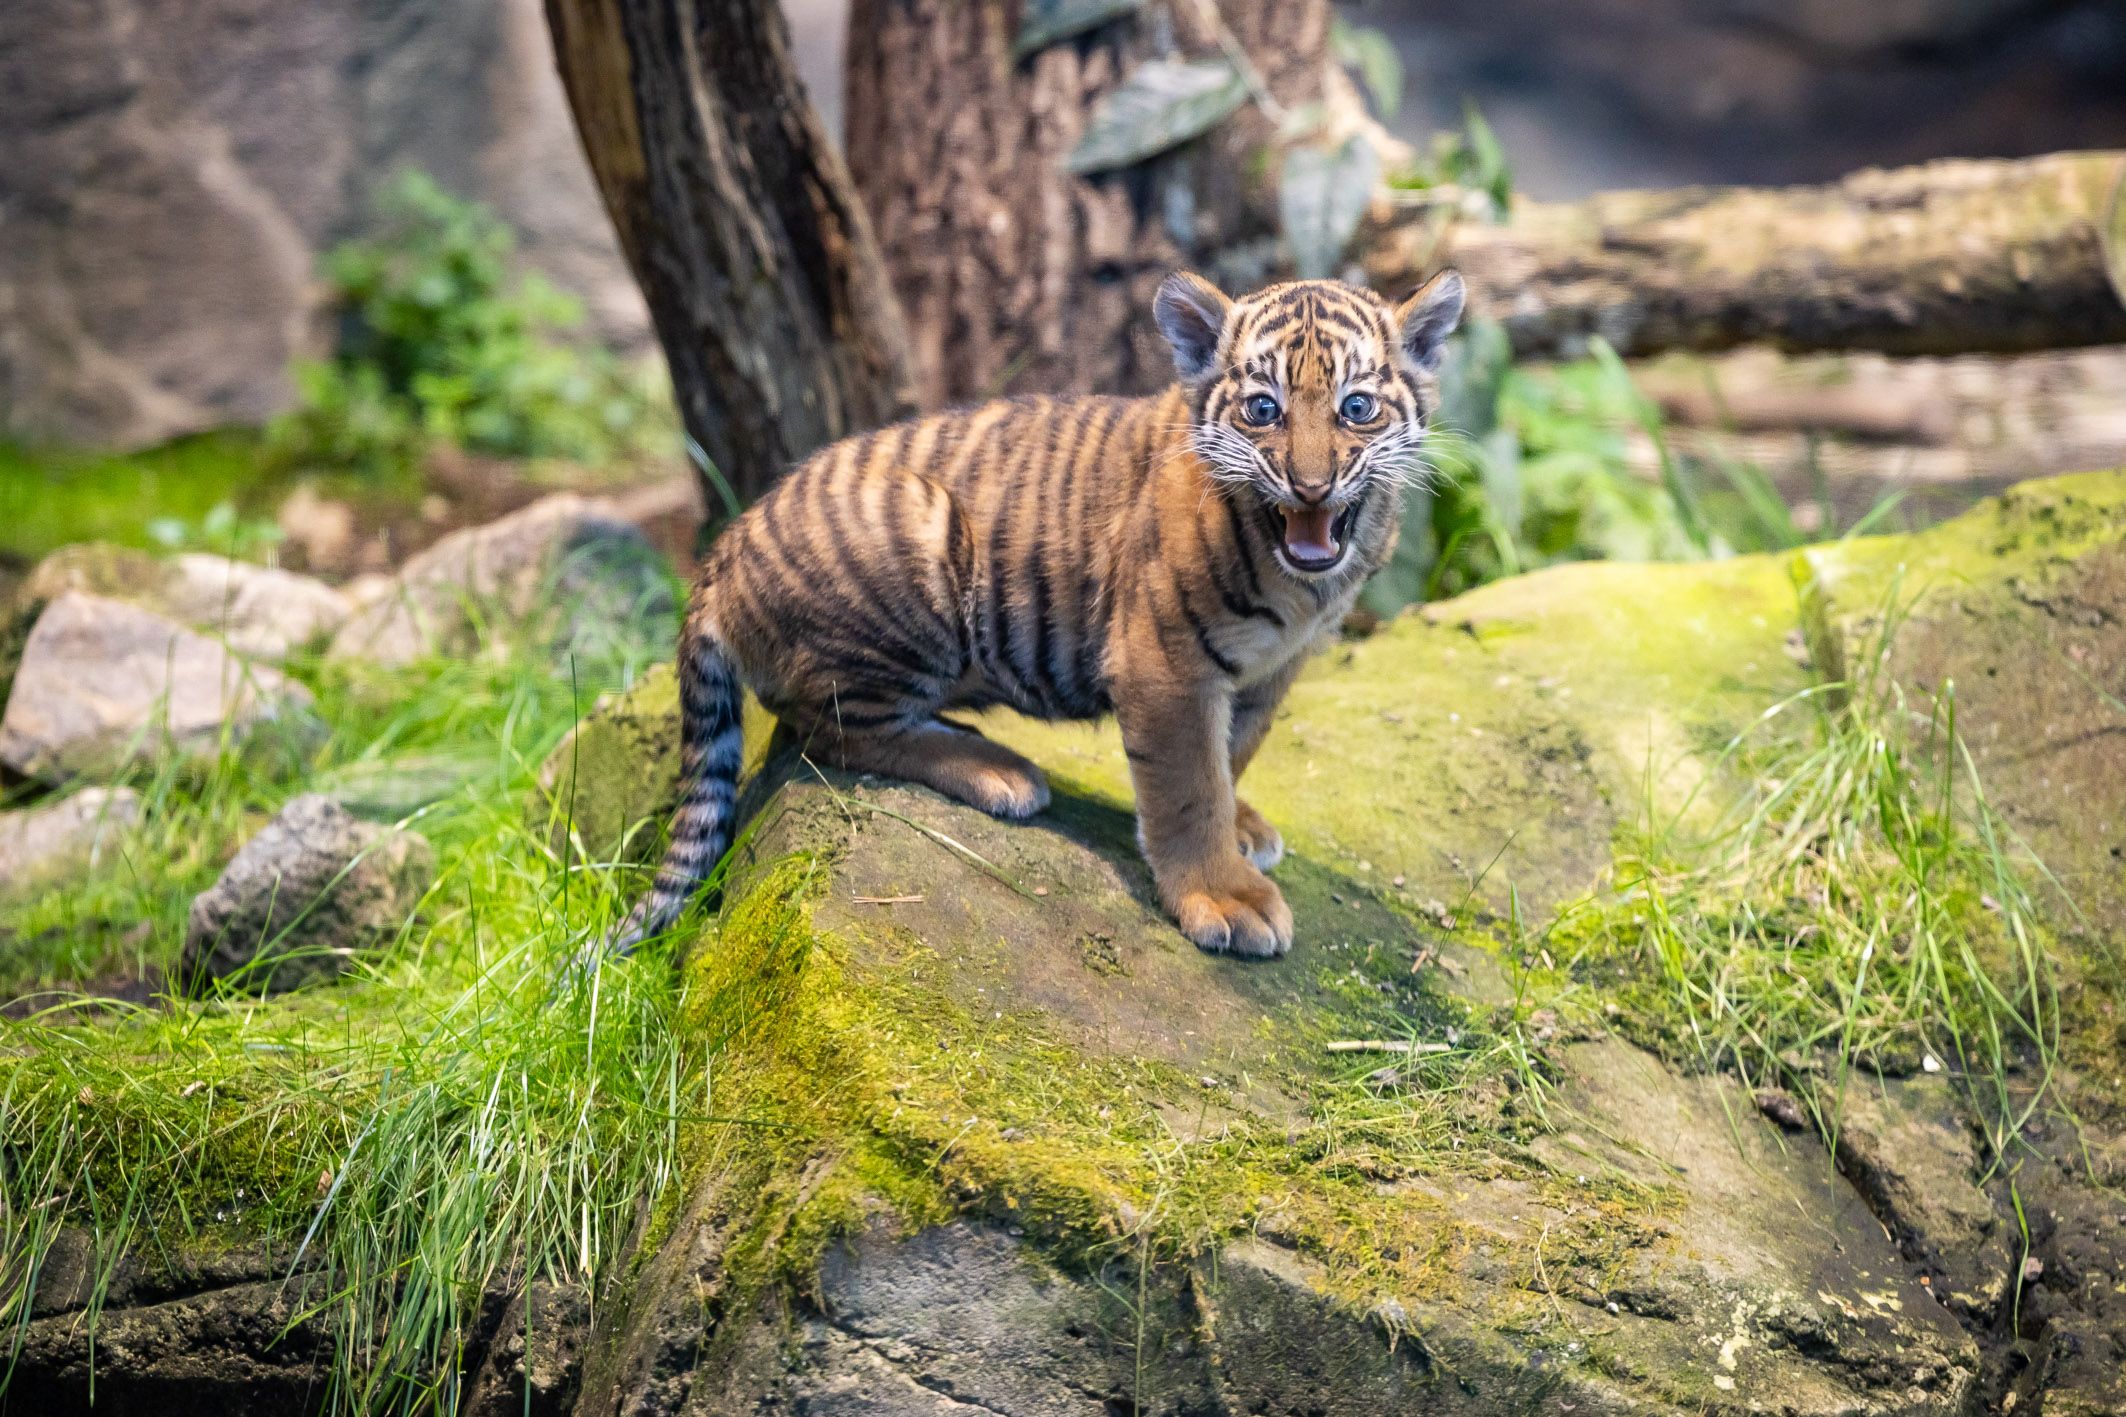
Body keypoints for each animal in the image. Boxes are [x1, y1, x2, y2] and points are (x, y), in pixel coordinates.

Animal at [610, 270, 1465, 959]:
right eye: (1263, 409)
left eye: (1357, 407)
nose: (1312, 486)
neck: (1305, 586)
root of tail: (723, 550)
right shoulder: (1165, 664)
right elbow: (1191, 785)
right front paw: (1223, 895)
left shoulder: (1271, 670)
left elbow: (1238, 751)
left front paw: (1242, 826)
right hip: (918, 549)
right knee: (824, 729)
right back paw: (998, 769)